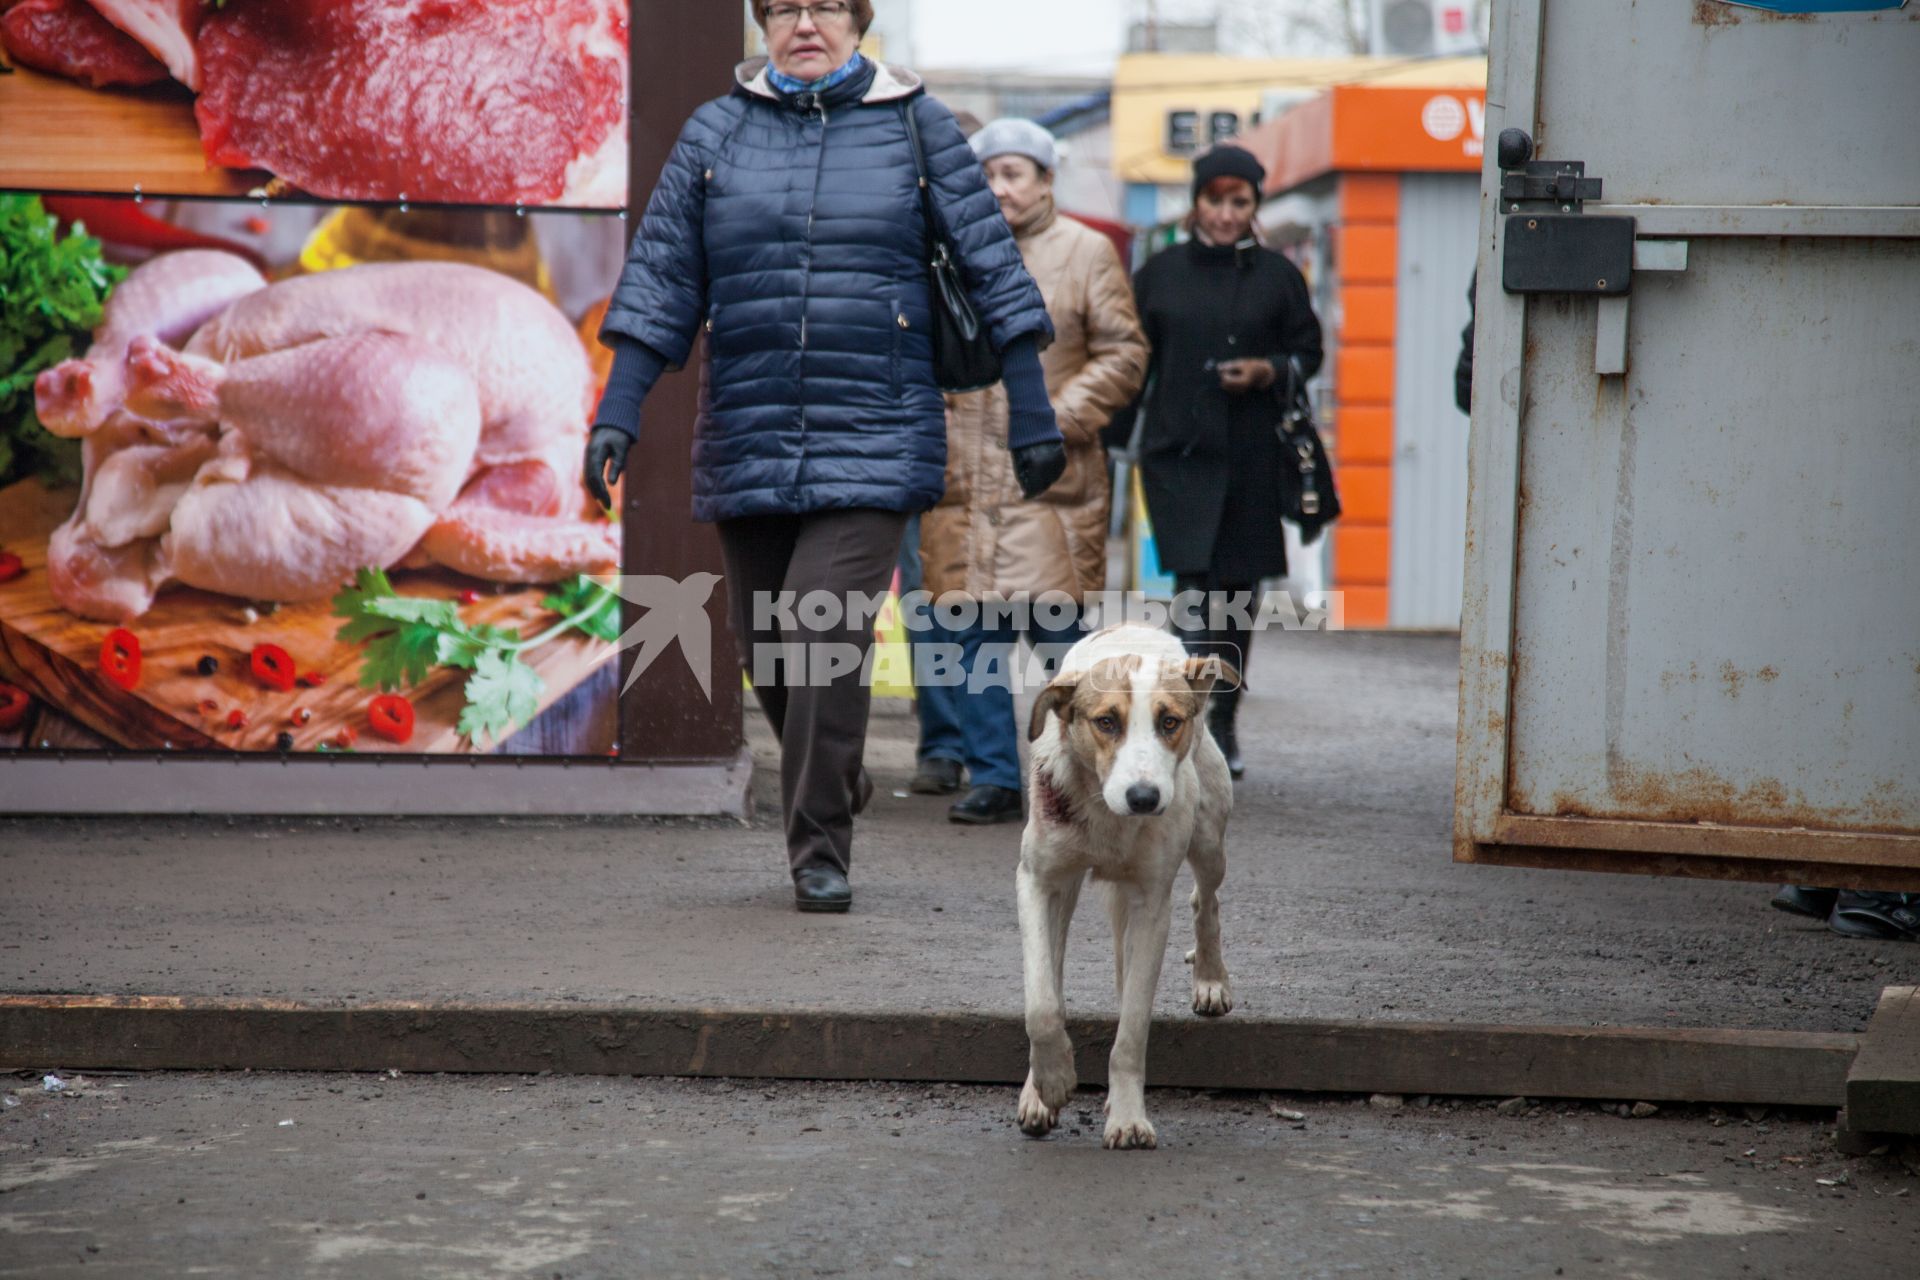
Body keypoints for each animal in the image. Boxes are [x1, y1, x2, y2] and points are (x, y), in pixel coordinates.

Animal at [1013, 621, 1236, 1151]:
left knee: (1206, 902)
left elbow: (1132, 1030)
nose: (1144, 797)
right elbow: (1042, 1001)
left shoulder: (1152, 904)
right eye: (1106, 722)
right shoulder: (1038, 883)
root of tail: (1138, 624)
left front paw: (1129, 1117)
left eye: (1170, 722)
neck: (1107, 817)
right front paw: (1048, 1084)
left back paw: (1210, 979)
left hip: (1207, 839)